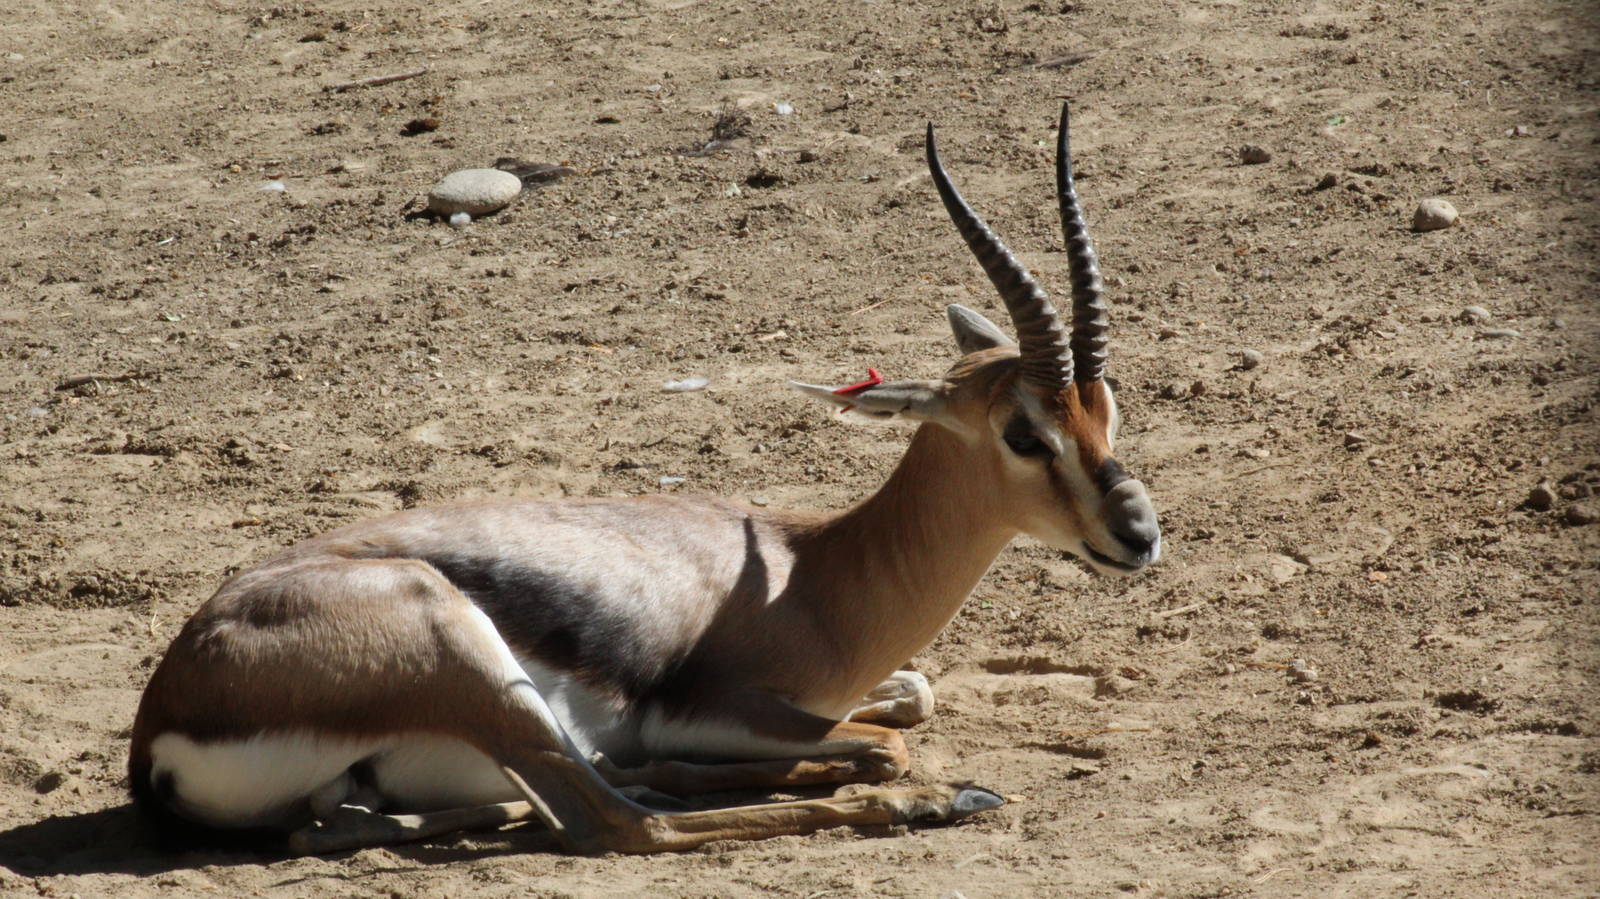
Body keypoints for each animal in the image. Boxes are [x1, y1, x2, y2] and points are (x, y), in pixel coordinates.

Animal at [128, 104, 1160, 856]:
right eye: (1025, 433)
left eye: (1106, 408)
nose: (1138, 534)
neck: (815, 573)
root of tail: (160, 724)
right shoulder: (725, 706)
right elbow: (886, 740)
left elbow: (912, 697)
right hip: (474, 661)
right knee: (620, 819)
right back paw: (935, 801)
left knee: (375, 818)